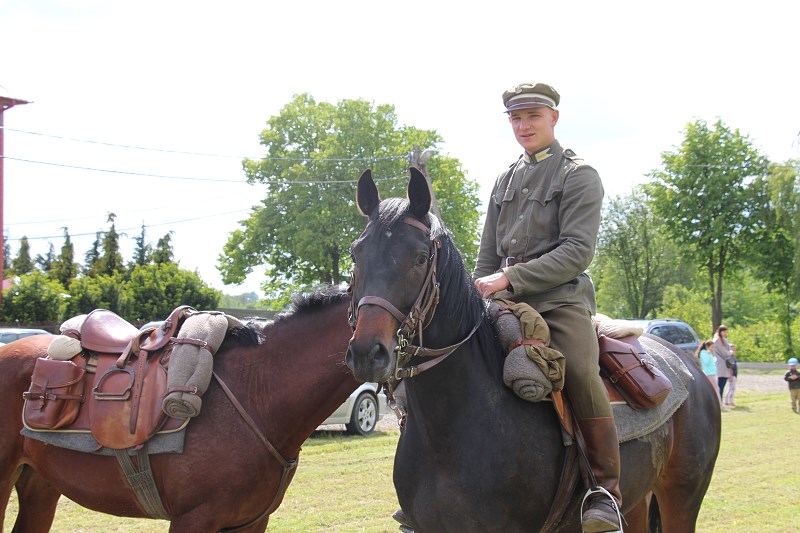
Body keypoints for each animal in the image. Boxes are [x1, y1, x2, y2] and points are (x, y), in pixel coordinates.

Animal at [346, 168, 722, 532]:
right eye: (355, 254)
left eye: (421, 258)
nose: (367, 353)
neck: (451, 429)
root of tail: (689, 368)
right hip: (637, 500)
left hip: (681, 499)